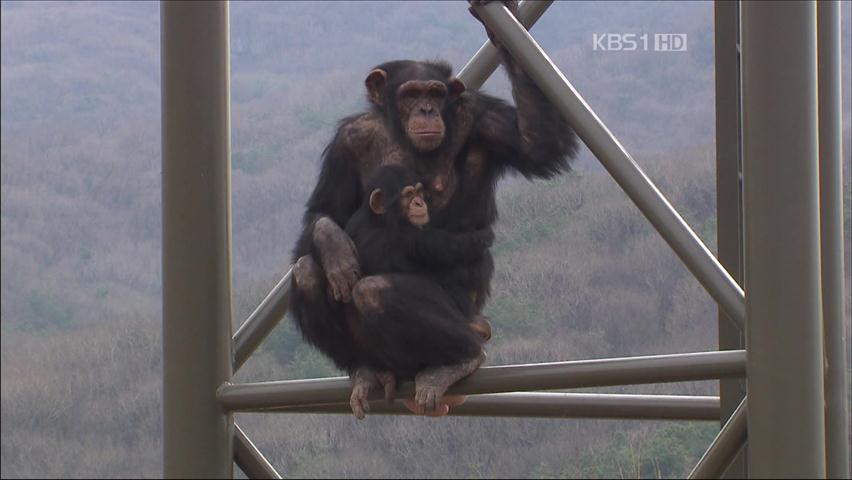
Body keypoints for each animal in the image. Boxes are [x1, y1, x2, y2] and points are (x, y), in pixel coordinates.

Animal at [288, 1, 580, 416]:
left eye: (435, 92)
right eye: (411, 93)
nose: (427, 109)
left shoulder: (479, 116)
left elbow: (537, 144)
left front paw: (500, 27)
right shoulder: (347, 140)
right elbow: (325, 210)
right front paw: (335, 246)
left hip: (467, 321)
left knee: (376, 291)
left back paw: (456, 363)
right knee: (307, 272)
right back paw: (364, 369)